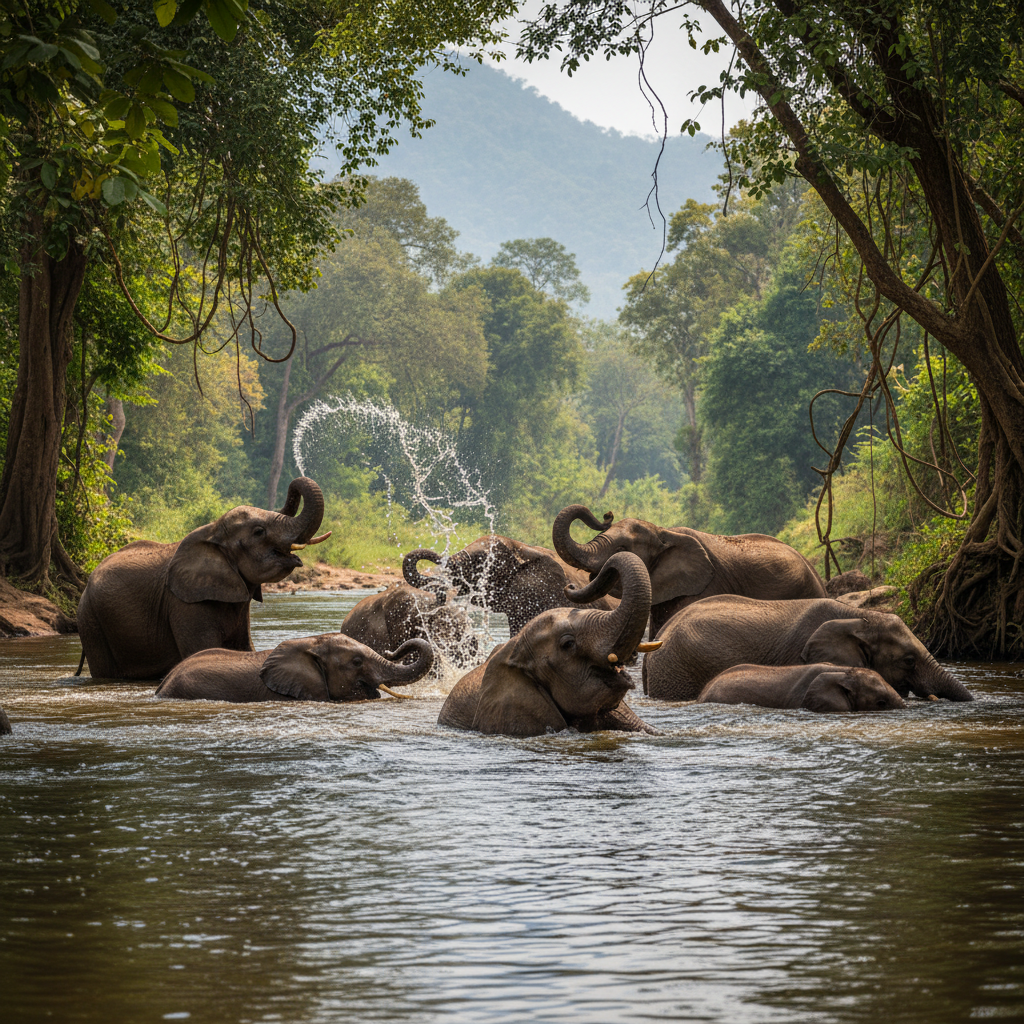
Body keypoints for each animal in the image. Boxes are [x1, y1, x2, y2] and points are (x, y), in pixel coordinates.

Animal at [77, 477, 330, 680]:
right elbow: (203, 650)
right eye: (259, 532)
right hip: (91, 621)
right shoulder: (184, 603)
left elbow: (244, 648)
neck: (212, 531)